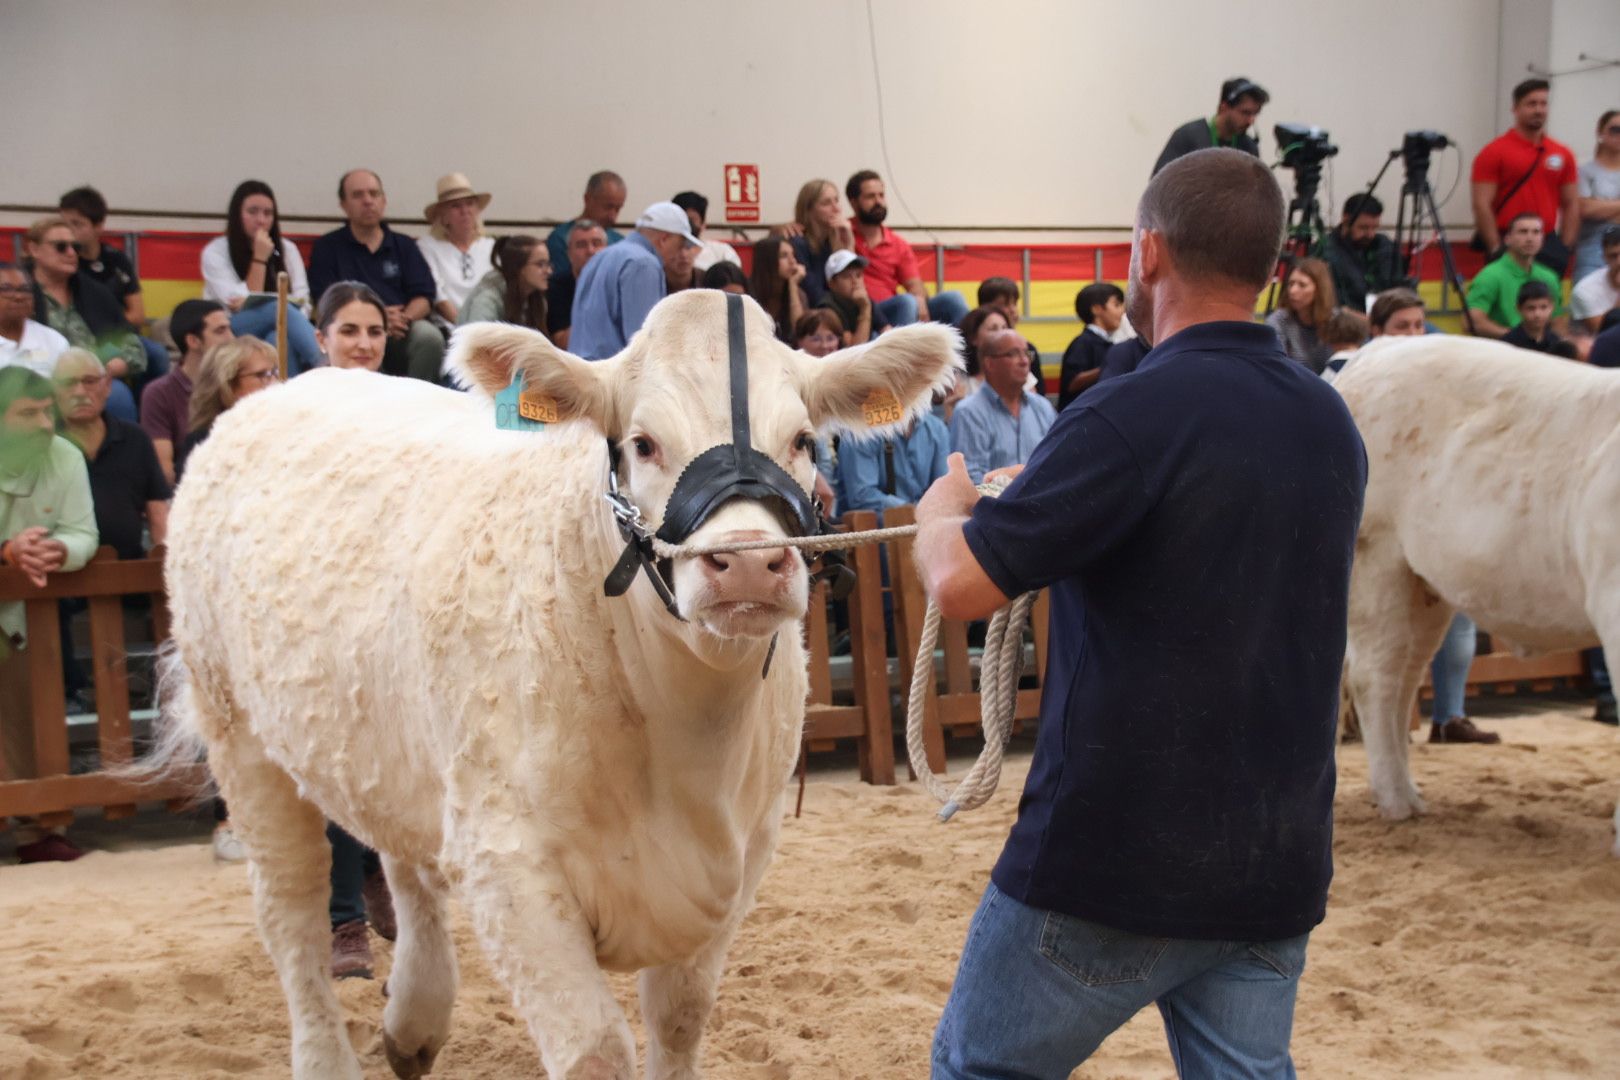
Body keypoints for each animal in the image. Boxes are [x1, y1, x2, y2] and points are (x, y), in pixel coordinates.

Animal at [153, 289, 959, 1080]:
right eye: (642, 443)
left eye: (801, 440)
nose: (749, 564)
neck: (685, 739)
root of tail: (287, 387)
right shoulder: (509, 865)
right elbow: (595, 1051)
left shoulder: (740, 857)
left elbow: (680, 1018)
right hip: (238, 731)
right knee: (291, 908)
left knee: (406, 860)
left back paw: (414, 1023)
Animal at [1334, 341, 1613, 835]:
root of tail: (1376, 349)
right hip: (1376, 559)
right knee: (1375, 676)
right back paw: (1394, 799)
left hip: (1424, 585)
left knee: (1407, 675)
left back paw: (1408, 791)